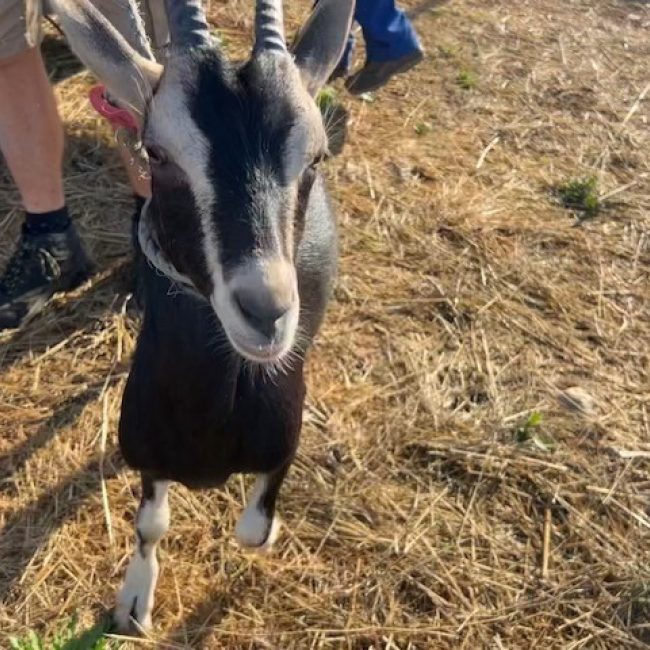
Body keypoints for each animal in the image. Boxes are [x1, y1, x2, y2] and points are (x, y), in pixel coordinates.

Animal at [49, 0, 354, 633]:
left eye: (315, 156)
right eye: (157, 153)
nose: (265, 313)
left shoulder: (281, 447)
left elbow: (254, 532)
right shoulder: (146, 454)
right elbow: (150, 524)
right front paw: (134, 602)